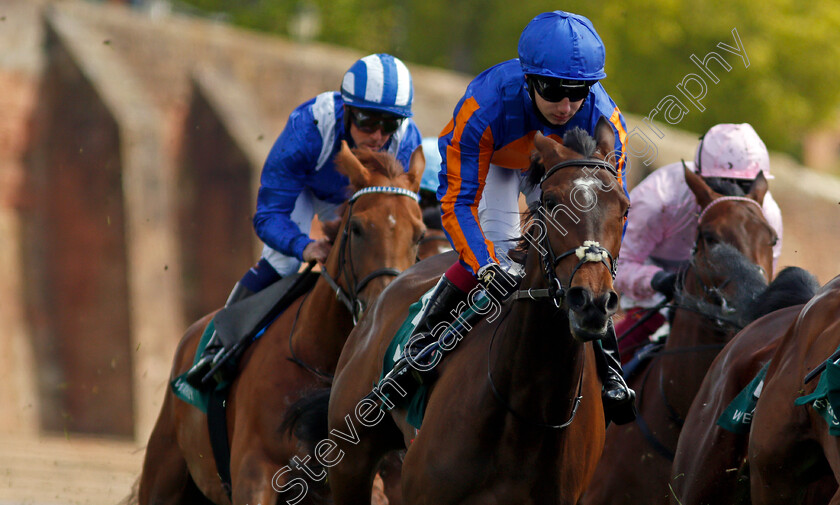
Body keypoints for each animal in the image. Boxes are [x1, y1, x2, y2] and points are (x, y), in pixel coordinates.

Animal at [141, 141, 426, 504]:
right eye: (357, 228)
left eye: (419, 235)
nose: (381, 306)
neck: (321, 357)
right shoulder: (255, 473)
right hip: (164, 472)